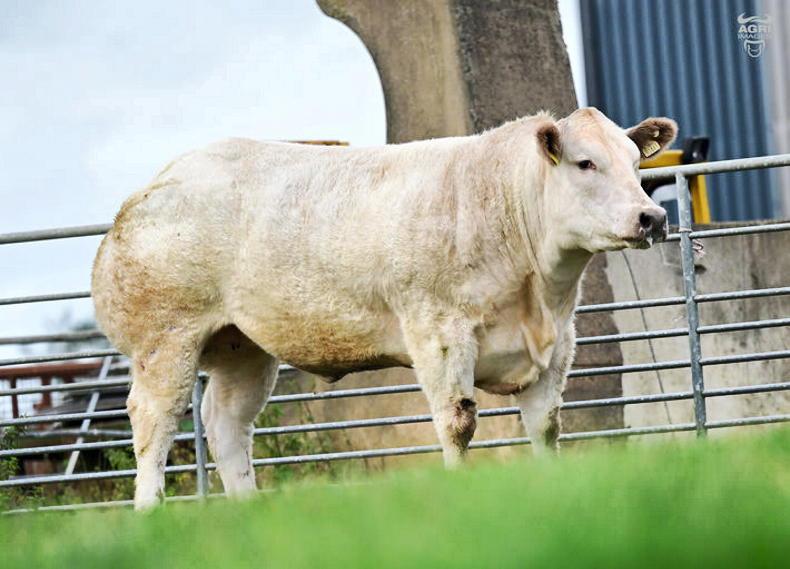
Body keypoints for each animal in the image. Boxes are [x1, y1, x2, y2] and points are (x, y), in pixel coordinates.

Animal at [92, 107, 676, 510]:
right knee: (154, 420)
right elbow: (458, 423)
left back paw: (246, 507)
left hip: (244, 347)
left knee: (226, 424)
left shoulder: (555, 347)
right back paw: (150, 511)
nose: (651, 217)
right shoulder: (439, 333)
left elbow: (547, 427)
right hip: (167, 338)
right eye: (585, 162)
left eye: (635, 162)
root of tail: (154, 185)